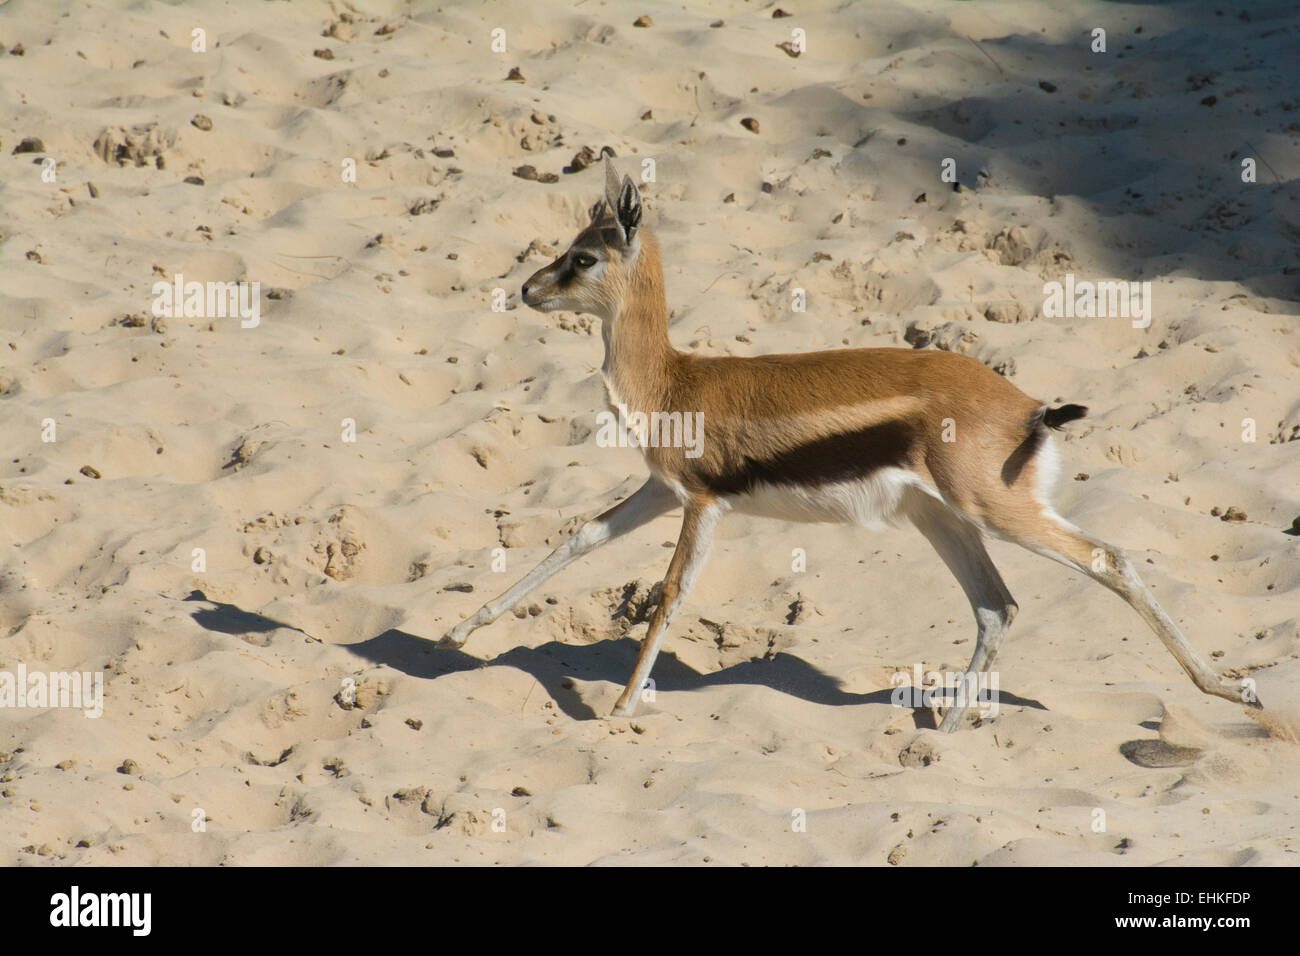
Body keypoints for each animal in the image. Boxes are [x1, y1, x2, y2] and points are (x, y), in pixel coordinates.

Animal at [440, 158, 1259, 732]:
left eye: (584, 257)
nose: (528, 290)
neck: (675, 380)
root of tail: (1031, 409)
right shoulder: (662, 489)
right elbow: (579, 536)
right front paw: (459, 630)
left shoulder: (702, 503)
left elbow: (670, 592)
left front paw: (617, 709)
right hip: (940, 519)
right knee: (997, 606)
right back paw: (947, 729)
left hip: (993, 511)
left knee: (1108, 560)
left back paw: (1232, 688)